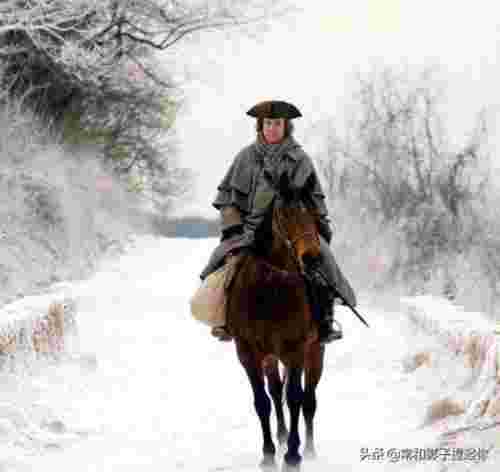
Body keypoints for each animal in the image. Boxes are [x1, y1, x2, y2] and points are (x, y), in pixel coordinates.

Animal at [225, 175, 326, 470]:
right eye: (285, 214)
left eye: (315, 214)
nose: (312, 259)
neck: (270, 287)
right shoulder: (247, 351)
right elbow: (263, 401)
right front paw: (269, 453)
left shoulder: (296, 349)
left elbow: (295, 398)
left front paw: (293, 455)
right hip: (270, 356)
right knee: (275, 391)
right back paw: (280, 439)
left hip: (315, 351)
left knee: (308, 399)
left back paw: (309, 449)